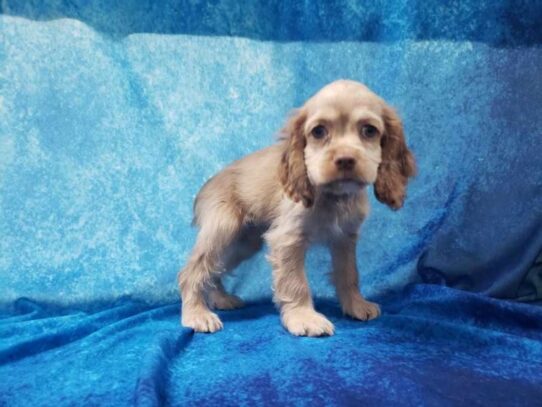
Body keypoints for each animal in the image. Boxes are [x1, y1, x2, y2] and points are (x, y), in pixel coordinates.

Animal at [178, 79, 416, 338]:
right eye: (319, 131)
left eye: (369, 130)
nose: (345, 160)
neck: (333, 196)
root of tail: (205, 186)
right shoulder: (288, 239)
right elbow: (295, 282)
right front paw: (304, 317)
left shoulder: (345, 238)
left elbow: (349, 274)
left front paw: (356, 305)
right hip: (224, 229)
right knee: (192, 271)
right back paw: (197, 314)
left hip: (243, 243)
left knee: (213, 269)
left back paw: (220, 299)